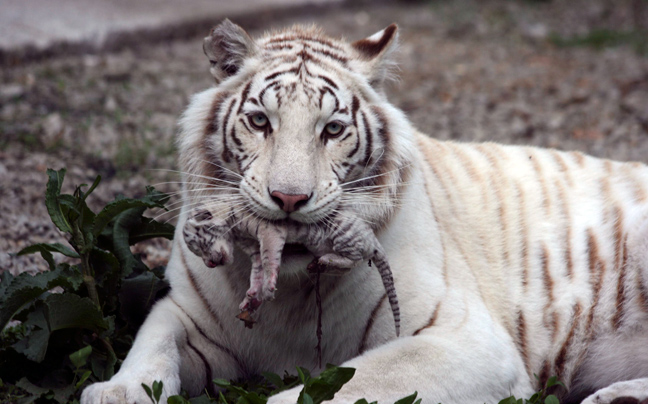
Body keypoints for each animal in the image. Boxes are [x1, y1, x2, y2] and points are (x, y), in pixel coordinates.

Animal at [81, 20, 648, 404]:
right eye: (261, 121)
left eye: (332, 129)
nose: (289, 198)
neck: (286, 287)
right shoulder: (189, 315)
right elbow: (153, 341)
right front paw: (116, 391)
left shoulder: (464, 340)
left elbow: (329, 390)